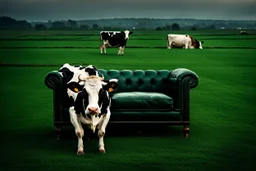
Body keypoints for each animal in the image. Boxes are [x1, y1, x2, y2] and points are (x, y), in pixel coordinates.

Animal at [44, 64, 200, 154]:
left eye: (102, 92)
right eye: (83, 92)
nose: (93, 109)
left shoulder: (107, 112)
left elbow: (101, 132)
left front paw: (101, 148)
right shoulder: (71, 111)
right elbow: (79, 132)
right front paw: (80, 149)